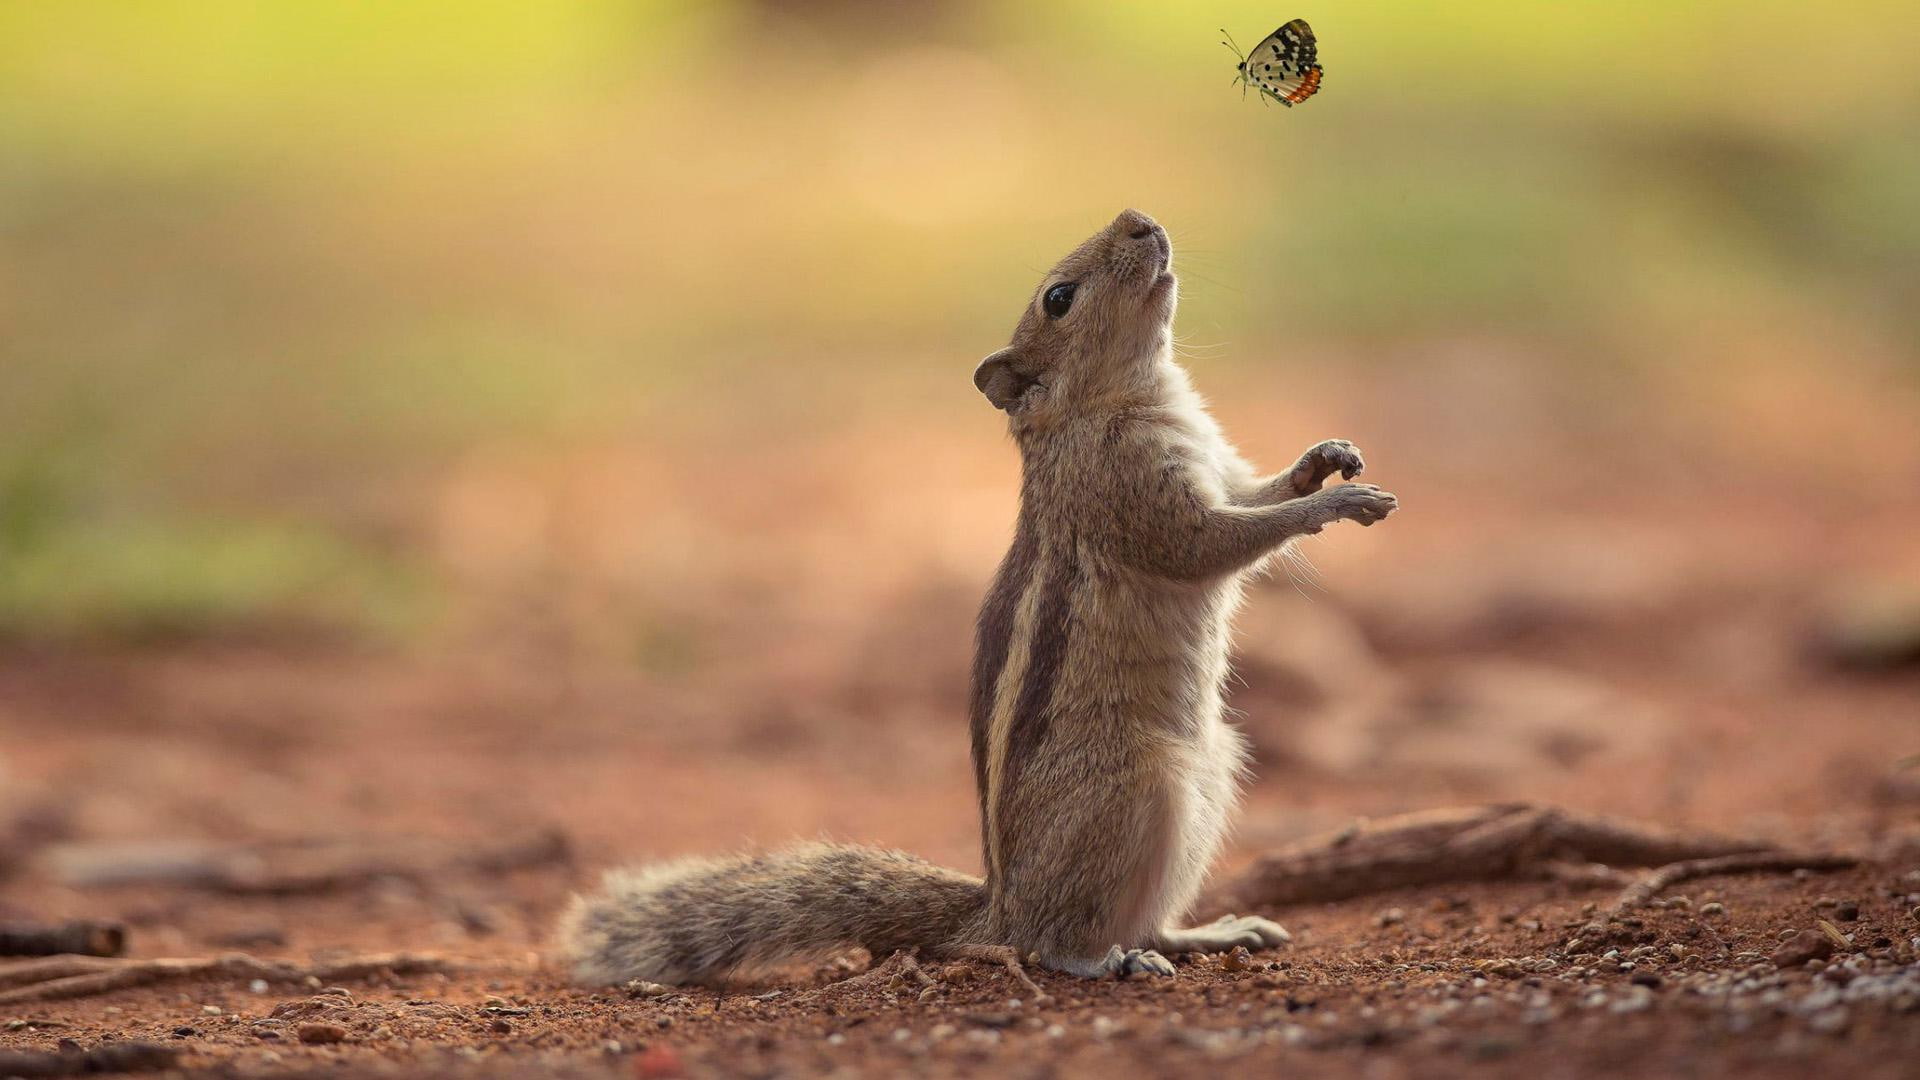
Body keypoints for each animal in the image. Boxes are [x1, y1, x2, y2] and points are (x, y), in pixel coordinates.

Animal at [558, 209, 1397, 985]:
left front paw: (1325, 459)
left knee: (1146, 917)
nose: (1138, 219)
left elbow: (1259, 492)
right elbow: (1215, 544)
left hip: (1214, 772)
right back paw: (1108, 960)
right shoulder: (1134, 498)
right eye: (1058, 298)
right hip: (1139, 788)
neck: (1117, 400)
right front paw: (1335, 503)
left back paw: (1209, 934)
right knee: (1056, 942)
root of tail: (999, 906)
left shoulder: (1220, 470)